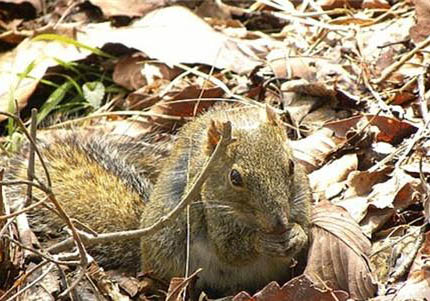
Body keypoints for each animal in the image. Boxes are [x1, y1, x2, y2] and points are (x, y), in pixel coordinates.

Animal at [5, 104, 312, 296]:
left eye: (291, 165)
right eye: (234, 177)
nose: (278, 223)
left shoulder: (300, 200)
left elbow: (307, 230)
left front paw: (296, 234)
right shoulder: (211, 212)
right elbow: (230, 250)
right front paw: (263, 241)